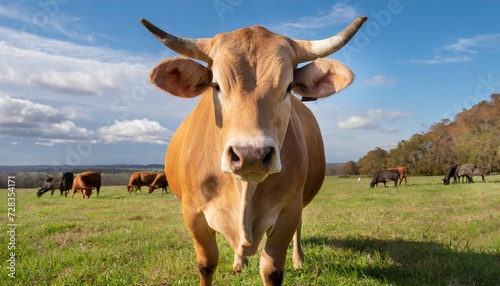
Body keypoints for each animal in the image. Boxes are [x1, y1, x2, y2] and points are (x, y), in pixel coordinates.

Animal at [141, 16, 368, 286]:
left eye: (289, 86)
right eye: (215, 85)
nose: (251, 155)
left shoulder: (288, 212)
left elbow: (271, 269)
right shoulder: (193, 214)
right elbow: (206, 264)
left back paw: (298, 260)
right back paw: (239, 262)